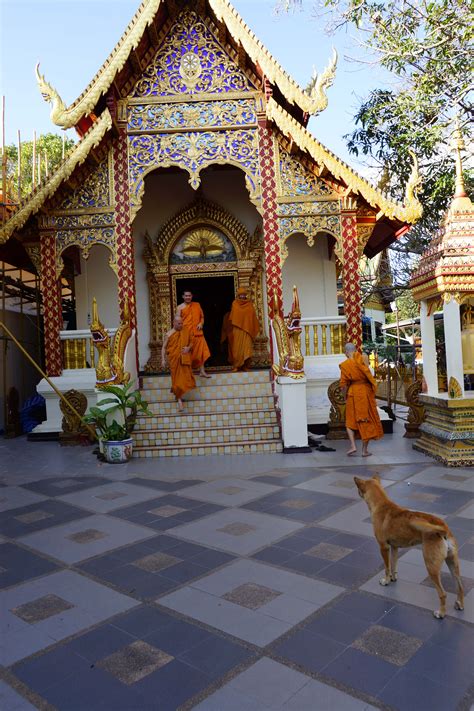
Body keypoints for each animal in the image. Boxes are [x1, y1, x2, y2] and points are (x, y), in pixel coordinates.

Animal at [356, 476, 462, 620]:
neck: (381, 505)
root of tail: (443, 528)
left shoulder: (384, 547)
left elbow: (387, 567)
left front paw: (386, 581)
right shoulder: (394, 547)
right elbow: (394, 565)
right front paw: (393, 578)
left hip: (431, 566)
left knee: (443, 593)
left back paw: (441, 613)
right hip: (452, 563)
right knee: (460, 586)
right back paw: (459, 604)